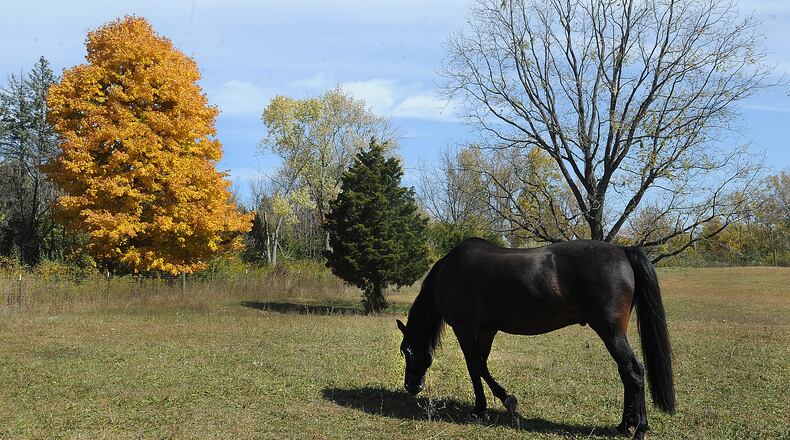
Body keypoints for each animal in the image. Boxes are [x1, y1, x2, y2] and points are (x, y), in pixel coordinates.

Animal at [396, 238, 674, 440]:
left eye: (406, 350)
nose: (411, 386)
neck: (450, 272)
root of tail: (622, 250)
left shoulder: (464, 328)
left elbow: (474, 367)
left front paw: (480, 408)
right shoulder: (486, 330)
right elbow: (483, 365)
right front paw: (506, 400)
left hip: (611, 332)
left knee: (634, 372)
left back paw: (639, 429)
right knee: (626, 373)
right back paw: (624, 425)